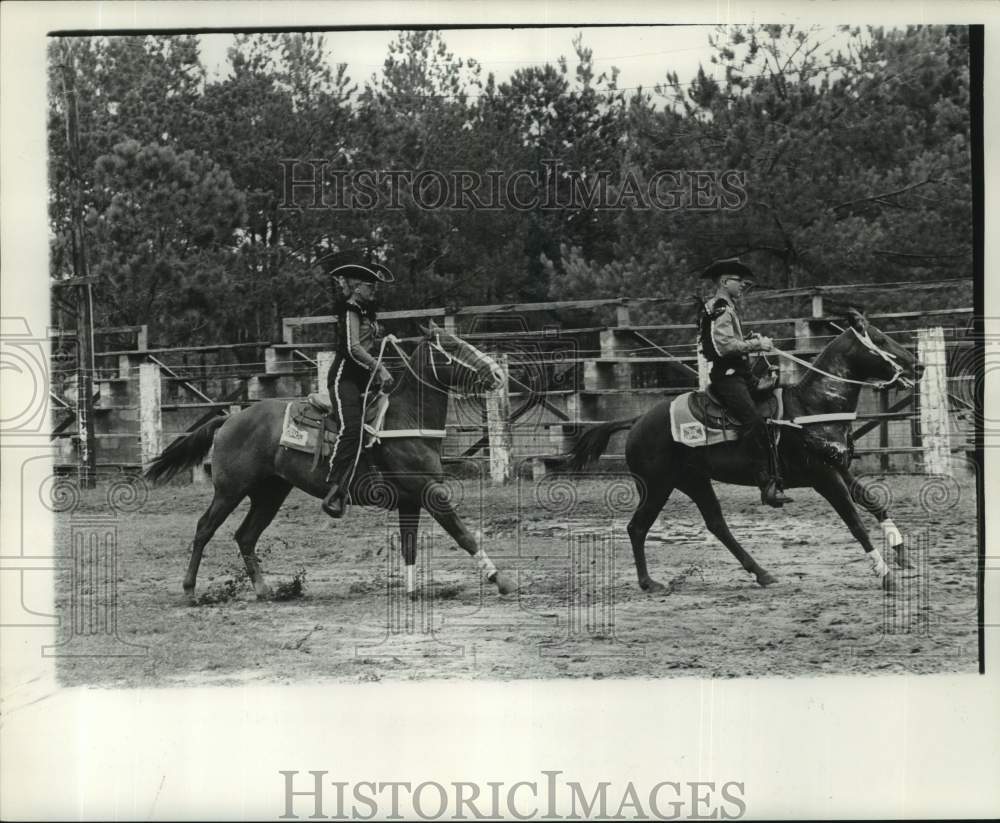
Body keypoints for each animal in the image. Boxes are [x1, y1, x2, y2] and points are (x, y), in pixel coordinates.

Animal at [146, 324, 520, 604]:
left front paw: (413, 591)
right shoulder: (430, 492)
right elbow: (462, 534)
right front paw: (499, 579)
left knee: (245, 536)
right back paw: (190, 591)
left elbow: (410, 545)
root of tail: (228, 419)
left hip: (270, 493)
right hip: (230, 490)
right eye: (453, 346)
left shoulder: (411, 500)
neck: (405, 421)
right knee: (204, 528)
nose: (497, 373)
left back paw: (265, 590)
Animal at [568, 312, 924, 596]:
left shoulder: (840, 466)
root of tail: (637, 420)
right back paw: (648, 583)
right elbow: (854, 522)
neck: (812, 406)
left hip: (693, 481)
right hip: (656, 485)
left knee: (716, 524)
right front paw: (885, 574)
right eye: (880, 339)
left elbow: (872, 501)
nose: (918, 366)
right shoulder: (823, 477)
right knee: (637, 527)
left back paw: (762, 574)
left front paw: (901, 552)